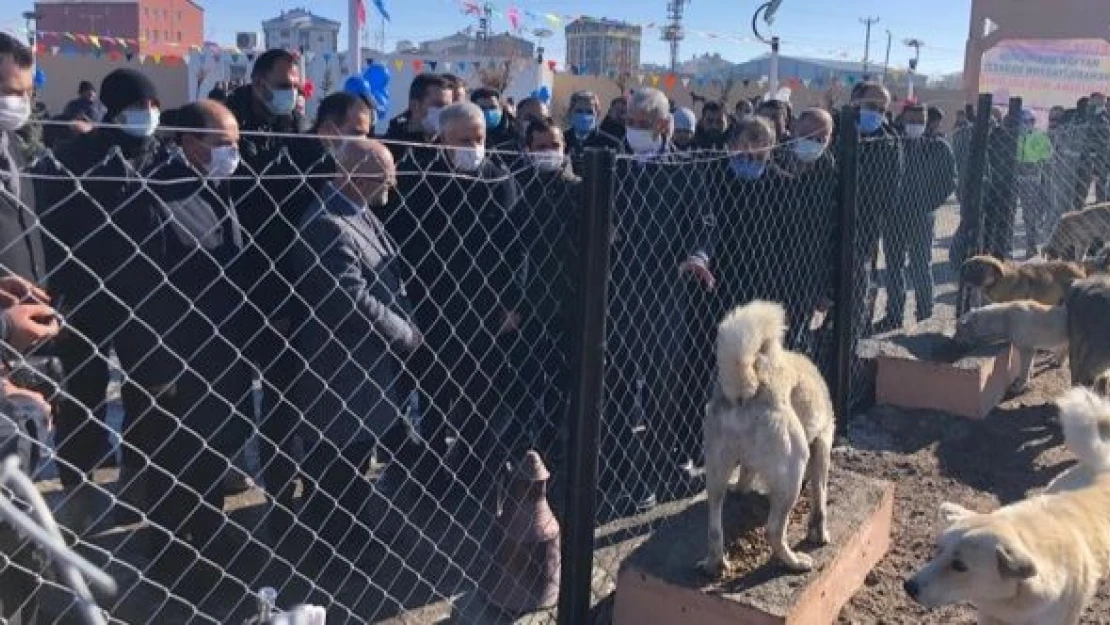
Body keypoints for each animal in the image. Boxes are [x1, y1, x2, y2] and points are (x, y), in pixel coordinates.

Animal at [692, 299, 834, 577]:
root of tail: (748, 386)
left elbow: (746, 475)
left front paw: (741, 489)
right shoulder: (822, 444)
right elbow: (820, 499)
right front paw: (819, 535)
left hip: (716, 472)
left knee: (714, 526)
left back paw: (714, 564)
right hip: (794, 469)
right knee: (774, 531)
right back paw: (794, 562)